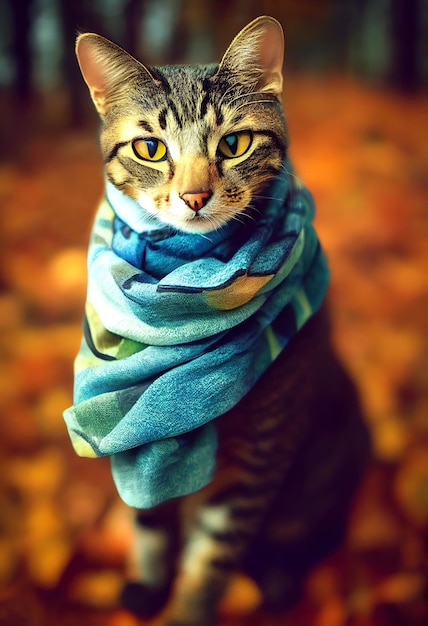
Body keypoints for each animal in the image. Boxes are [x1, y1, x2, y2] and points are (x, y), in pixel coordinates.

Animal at [72, 14, 370, 624]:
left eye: (234, 143)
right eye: (150, 148)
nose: (193, 196)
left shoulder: (262, 447)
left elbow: (212, 558)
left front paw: (185, 609)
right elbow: (152, 521)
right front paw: (149, 585)